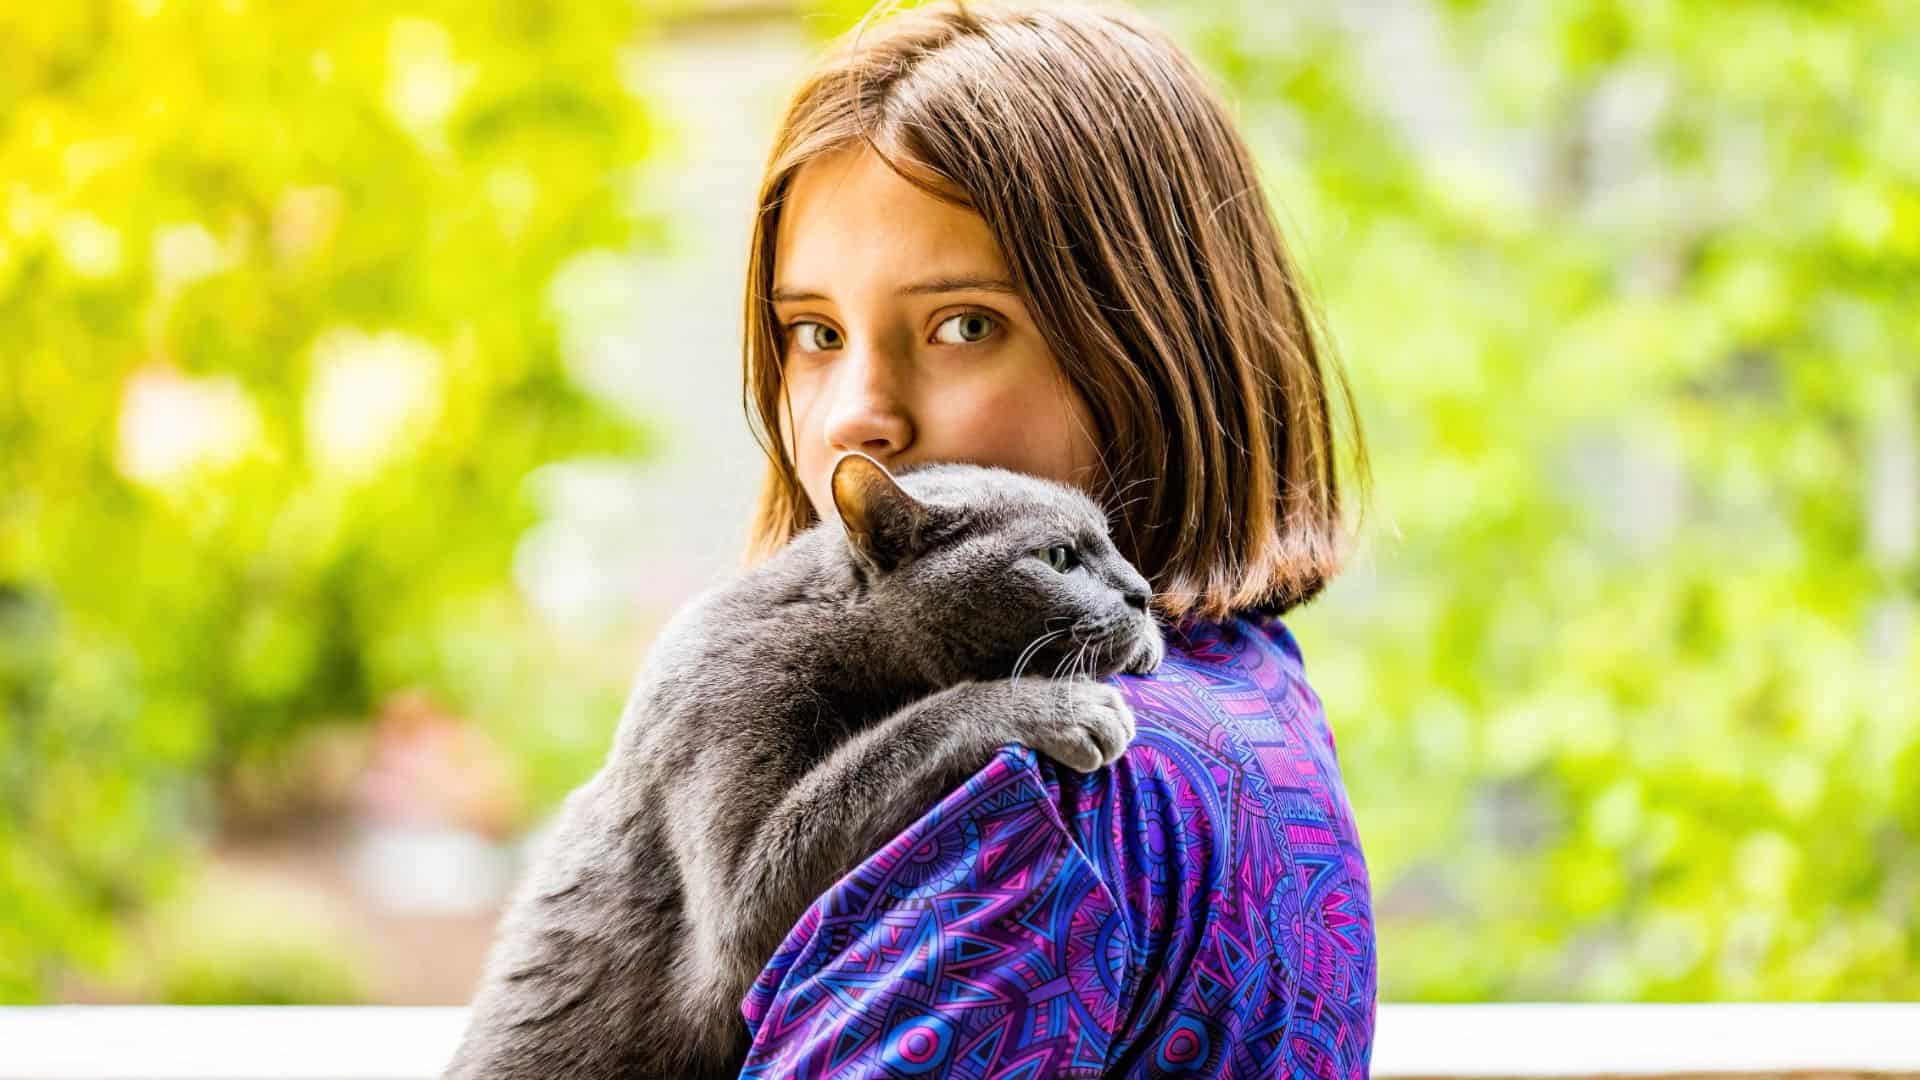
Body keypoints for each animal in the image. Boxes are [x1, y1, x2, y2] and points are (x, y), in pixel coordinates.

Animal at [447, 449, 1159, 1068]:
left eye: (1112, 541)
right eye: (1059, 557)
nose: (1143, 592)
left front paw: (1147, 643)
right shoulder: (728, 767)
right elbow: (912, 729)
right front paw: (1058, 704)